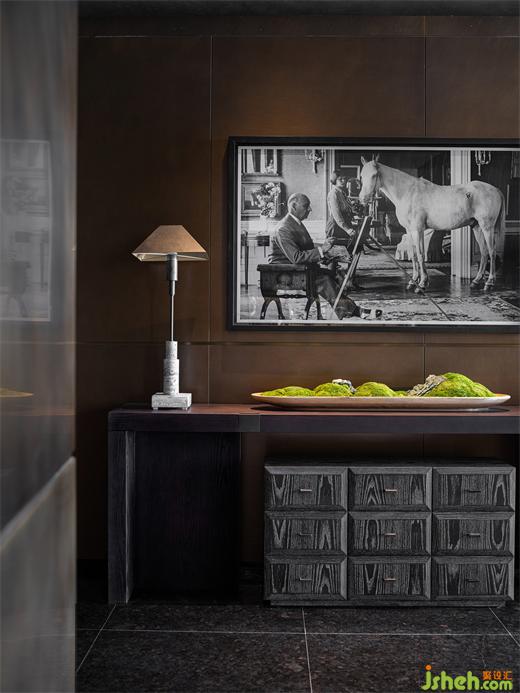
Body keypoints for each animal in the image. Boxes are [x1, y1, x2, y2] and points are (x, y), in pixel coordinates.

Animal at [358, 155, 505, 292]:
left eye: (374, 175)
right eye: (361, 176)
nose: (363, 199)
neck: (408, 192)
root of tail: (496, 190)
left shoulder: (418, 230)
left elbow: (421, 254)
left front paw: (422, 284)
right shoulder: (409, 231)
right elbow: (414, 255)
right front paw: (413, 282)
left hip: (487, 227)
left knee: (491, 252)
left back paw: (489, 283)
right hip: (477, 227)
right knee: (484, 252)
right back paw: (476, 281)